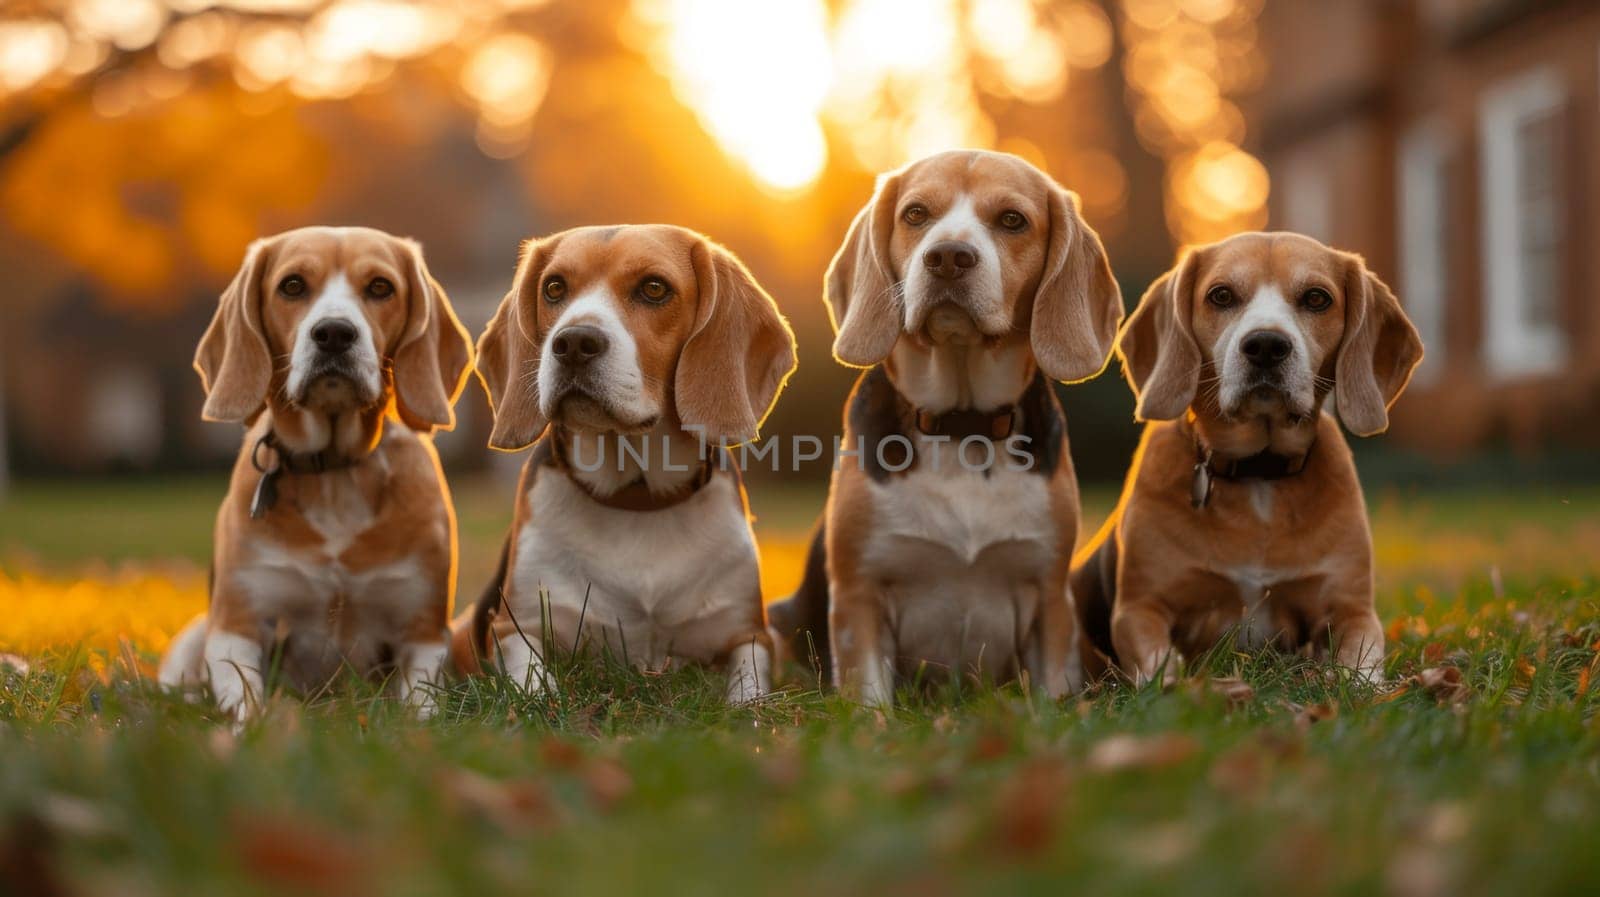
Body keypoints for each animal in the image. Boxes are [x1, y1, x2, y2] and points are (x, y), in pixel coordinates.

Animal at [159, 225, 476, 719]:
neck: (334, 472)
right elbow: (247, 704)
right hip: (193, 635)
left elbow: (420, 709)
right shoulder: (238, 628)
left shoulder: (422, 634)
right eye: (292, 286)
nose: (333, 333)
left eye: (380, 287)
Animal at [448, 222, 796, 700]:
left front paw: (748, 705)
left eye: (654, 288)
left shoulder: (752, 633)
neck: (637, 499)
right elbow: (533, 681)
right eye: (554, 288)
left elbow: (750, 686)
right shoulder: (512, 627)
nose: (573, 342)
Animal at [764, 148, 1120, 706]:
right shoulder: (859, 596)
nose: (949, 257)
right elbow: (868, 696)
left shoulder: (1050, 597)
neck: (961, 428)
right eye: (915, 214)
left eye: (1012, 220)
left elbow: (1054, 693)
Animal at [1075, 231, 1427, 684]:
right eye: (1221, 295)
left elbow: (1361, 668)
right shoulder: (1139, 611)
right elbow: (1161, 667)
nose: (1265, 345)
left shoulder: (1353, 611)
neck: (1258, 474)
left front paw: (1363, 685)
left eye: (1317, 298)